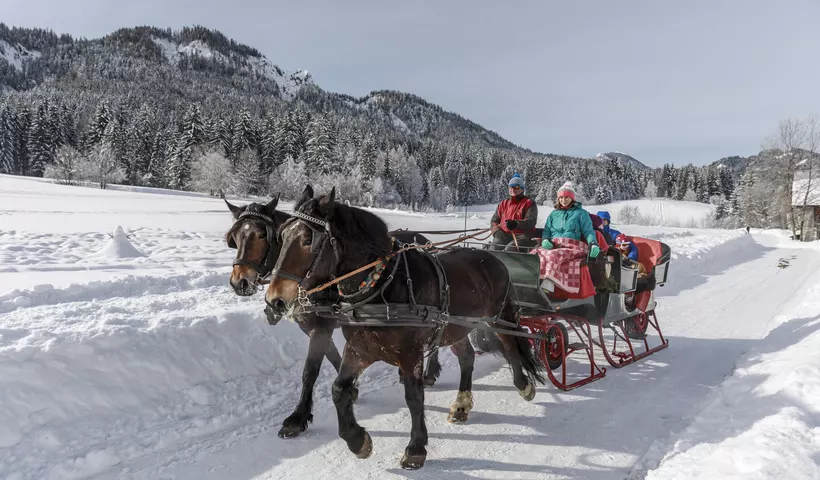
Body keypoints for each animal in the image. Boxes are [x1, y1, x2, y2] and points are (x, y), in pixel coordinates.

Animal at [226, 195, 448, 438]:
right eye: (235, 237)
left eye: (262, 235)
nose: (240, 282)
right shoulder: (314, 327)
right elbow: (333, 357)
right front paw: (352, 388)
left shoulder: (323, 326)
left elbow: (310, 370)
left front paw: (297, 417)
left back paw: (430, 371)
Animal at [264, 187, 544, 468]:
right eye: (281, 236)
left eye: (307, 239)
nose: (274, 300)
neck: (381, 287)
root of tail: (492, 256)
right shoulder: (359, 349)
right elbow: (337, 388)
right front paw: (357, 440)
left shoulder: (410, 353)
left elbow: (413, 396)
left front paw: (416, 448)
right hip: (455, 327)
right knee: (467, 357)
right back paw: (461, 405)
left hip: (498, 317)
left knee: (511, 345)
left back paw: (523, 385)